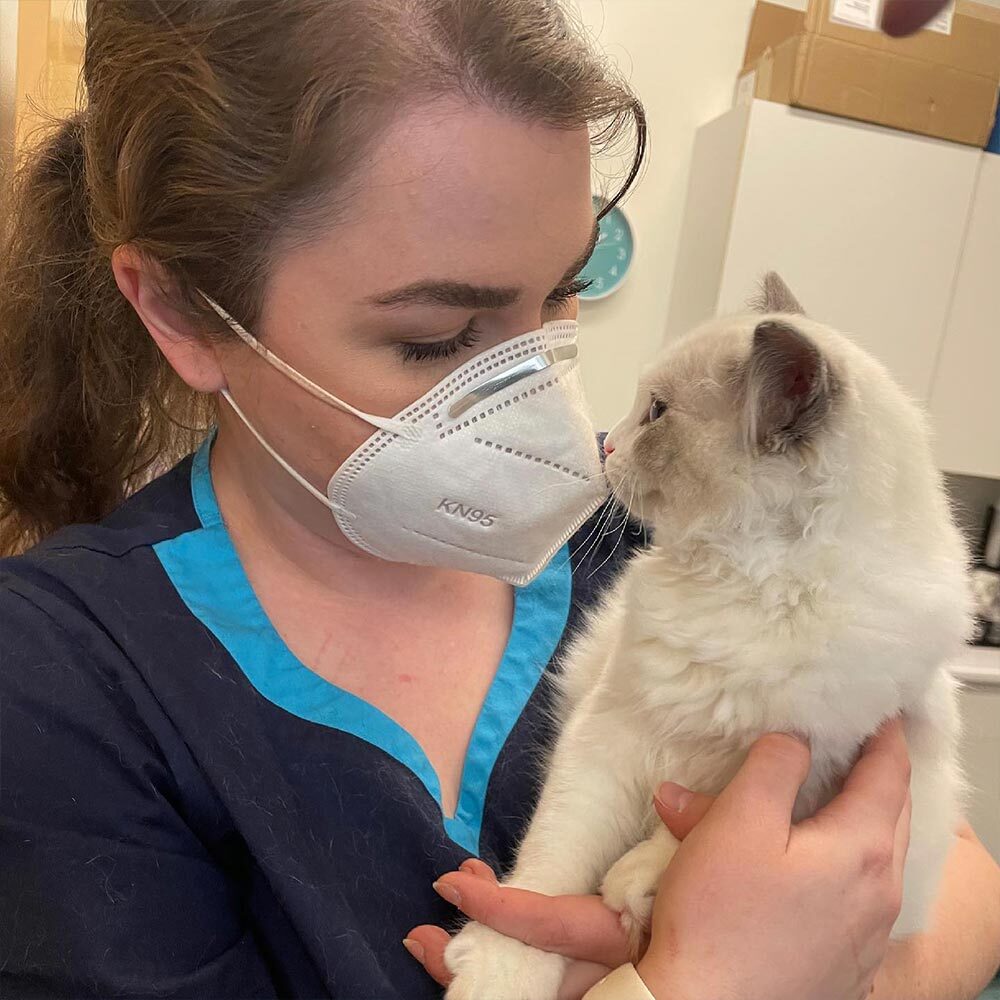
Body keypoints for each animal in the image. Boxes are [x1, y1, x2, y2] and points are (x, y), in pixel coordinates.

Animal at [444, 276, 968, 1000]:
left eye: (658, 413)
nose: (607, 448)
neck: (751, 590)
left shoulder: (816, 764)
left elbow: (687, 831)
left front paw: (635, 885)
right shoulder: (608, 735)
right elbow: (547, 873)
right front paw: (500, 972)